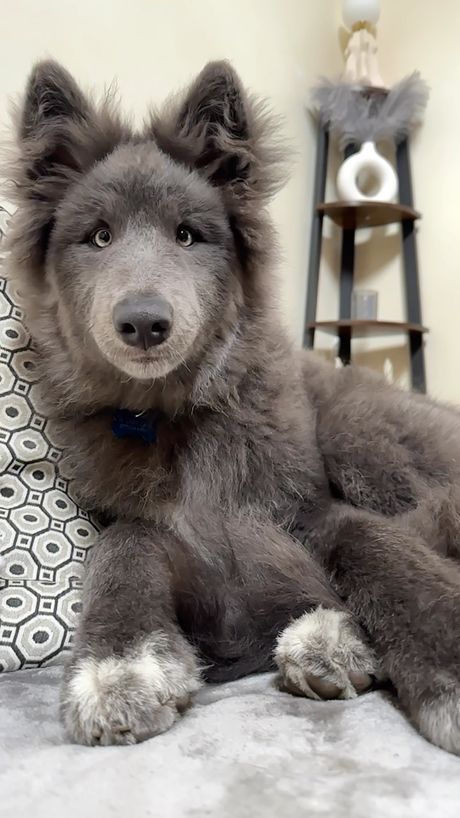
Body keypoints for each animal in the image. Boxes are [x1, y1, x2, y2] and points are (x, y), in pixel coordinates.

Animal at [5, 59, 460, 753]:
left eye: (188, 235)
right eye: (99, 236)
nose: (144, 323)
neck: (177, 416)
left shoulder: (309, 508)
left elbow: (376, 543)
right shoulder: (147, 526)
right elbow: (123, 545)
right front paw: (120, 666)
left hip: (357, 433)